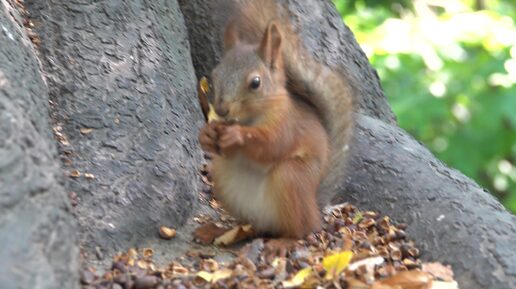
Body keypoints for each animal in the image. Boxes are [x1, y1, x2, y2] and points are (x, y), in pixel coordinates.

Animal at [199, 1, 354, 237]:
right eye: (214, 76)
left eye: (255, 82)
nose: (222, 109)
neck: (249, 119)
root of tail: (315, 206)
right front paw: (207, 134)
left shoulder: (287, 124)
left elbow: (273, 144)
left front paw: (237, 135)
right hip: (225, 179)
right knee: (250, 226)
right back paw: (217, 231)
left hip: (292, 177)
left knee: (303, 229)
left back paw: (282, 241)